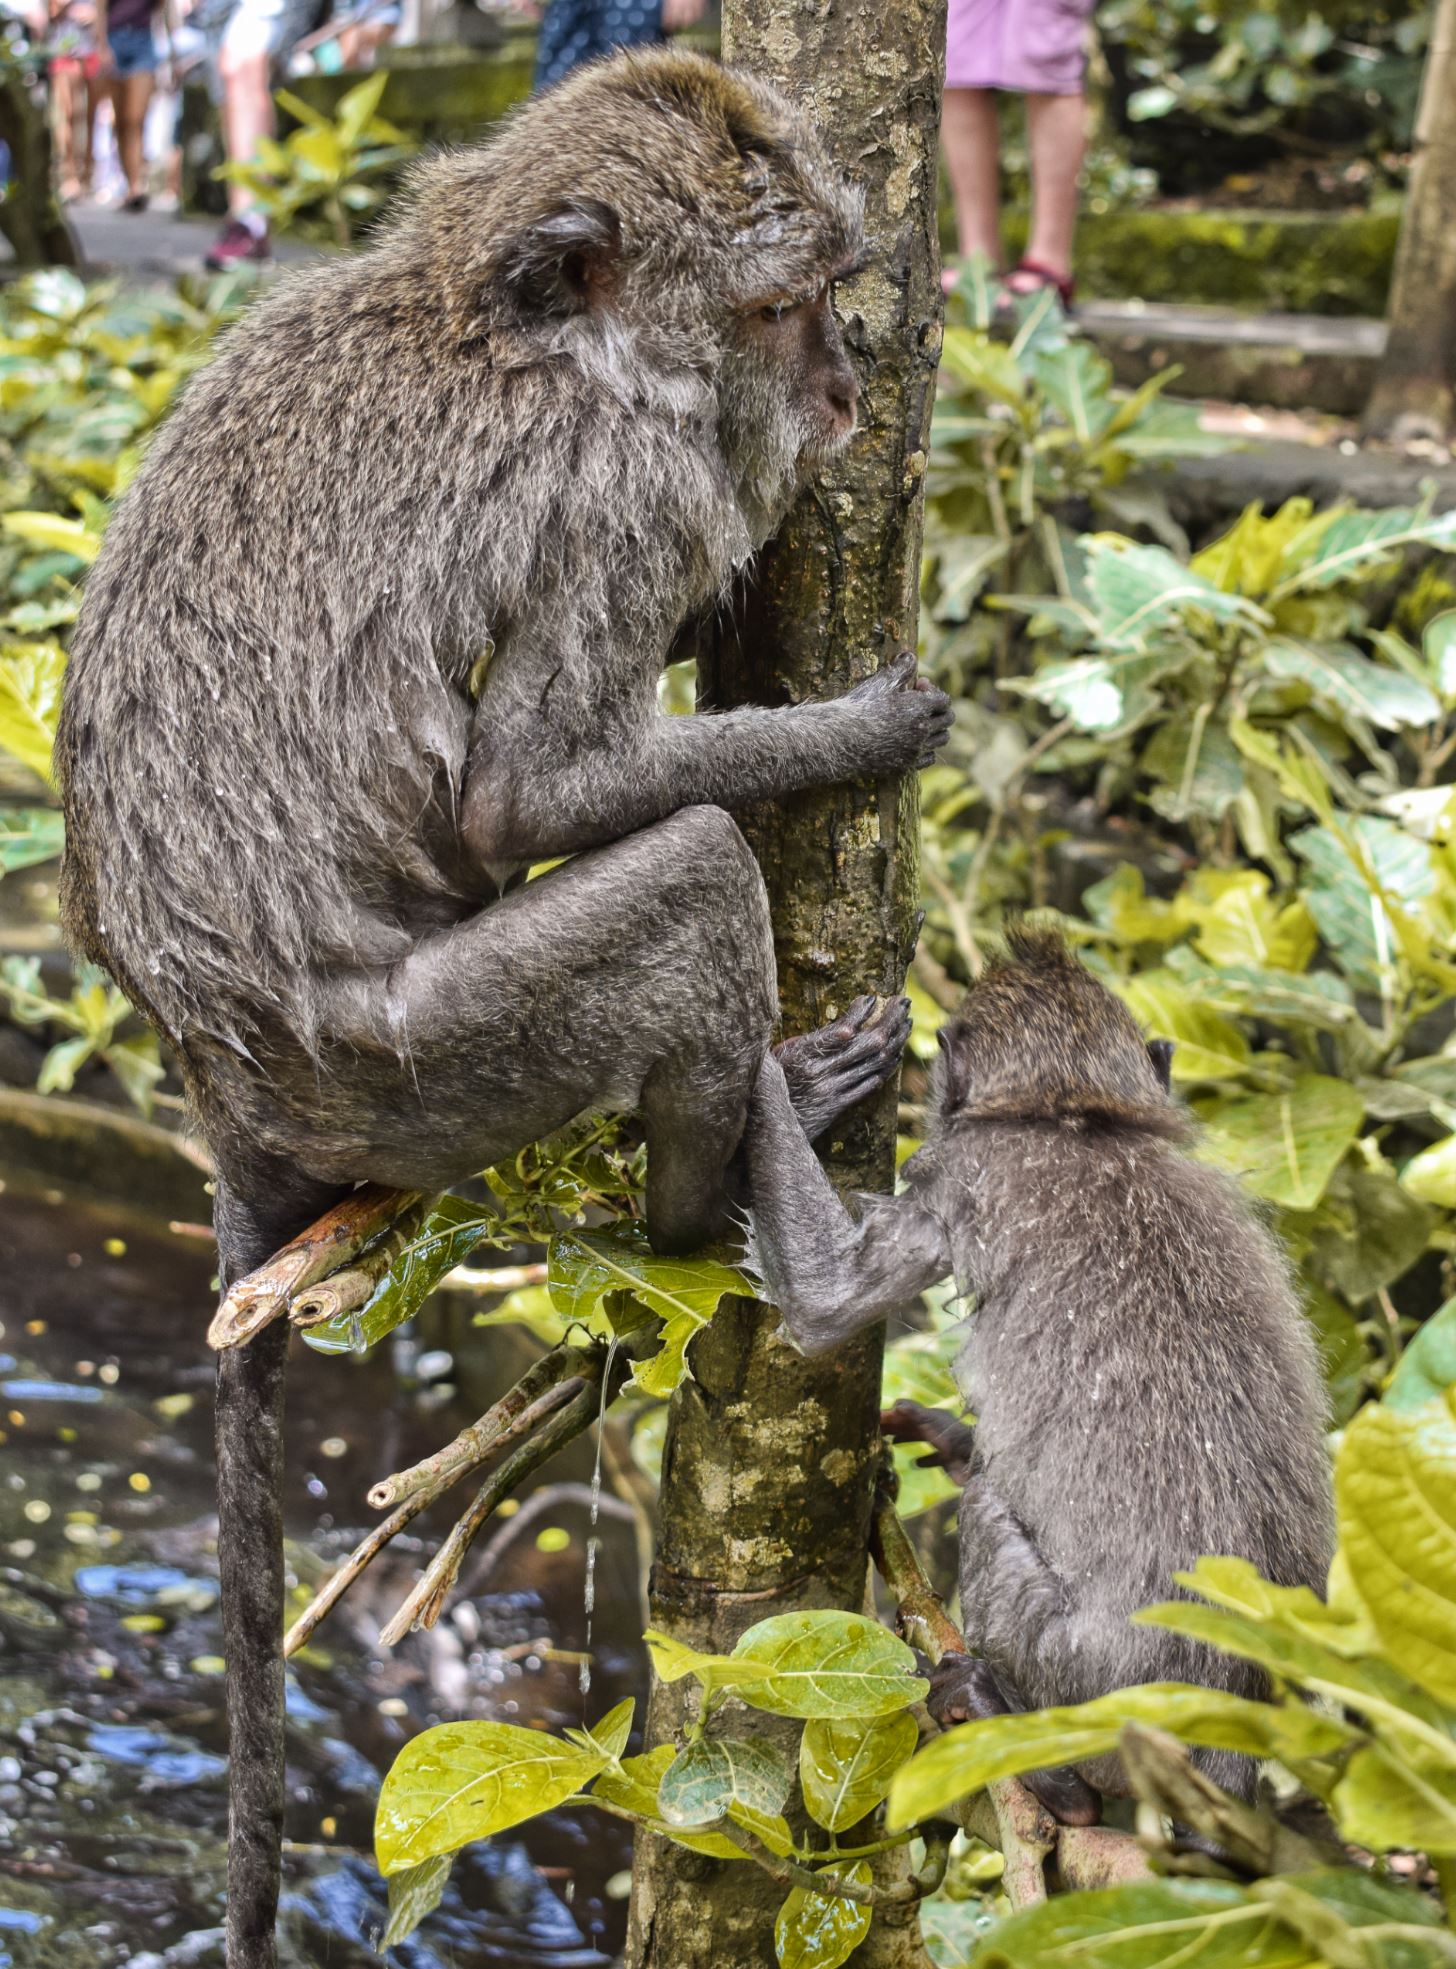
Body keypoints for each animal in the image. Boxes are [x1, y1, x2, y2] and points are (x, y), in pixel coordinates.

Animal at [54, 49, 952, 1964]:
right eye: (781, 310)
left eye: (832, 298)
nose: (847, 389)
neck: (500, 315)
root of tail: (212, 1082)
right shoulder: (626, 483)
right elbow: (525, 797)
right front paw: (843, 729)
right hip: (423, 1068)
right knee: (689, 876)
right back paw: (752, 1216)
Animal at [744, 927, 1334, 1823]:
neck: (1080, 1120)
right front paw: (951, 1439)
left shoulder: (958, 1169)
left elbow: (823, 1303)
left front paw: (790, 1083)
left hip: (1082, 1683)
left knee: (991, 1515)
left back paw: (1042, 1764)